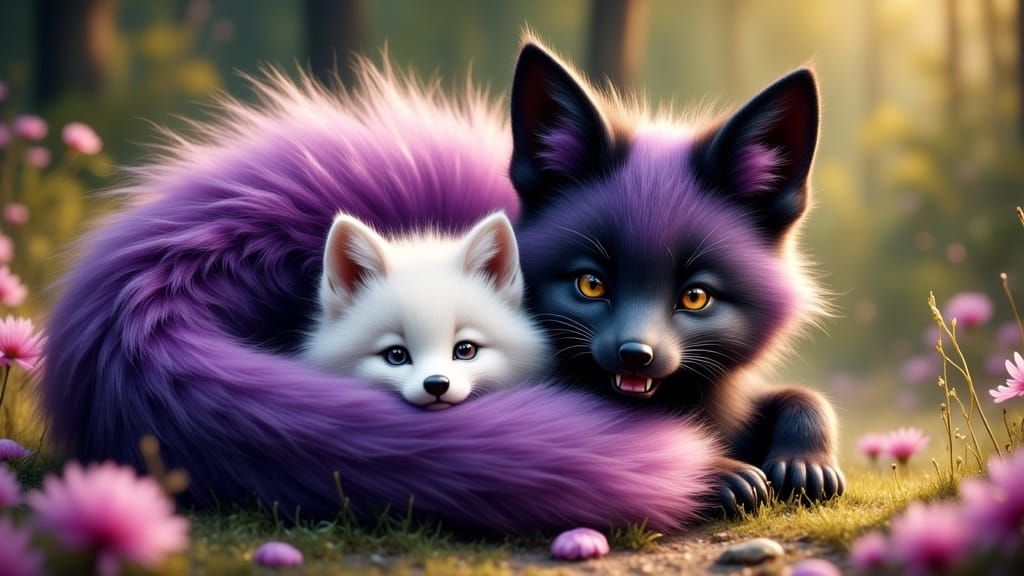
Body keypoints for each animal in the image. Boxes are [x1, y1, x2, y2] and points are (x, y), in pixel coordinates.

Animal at [509, 41, 844, 514]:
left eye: (695, 297)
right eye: (591, 285)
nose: (634, 354)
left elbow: (805, 397)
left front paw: (805, 463)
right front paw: (719, 471)